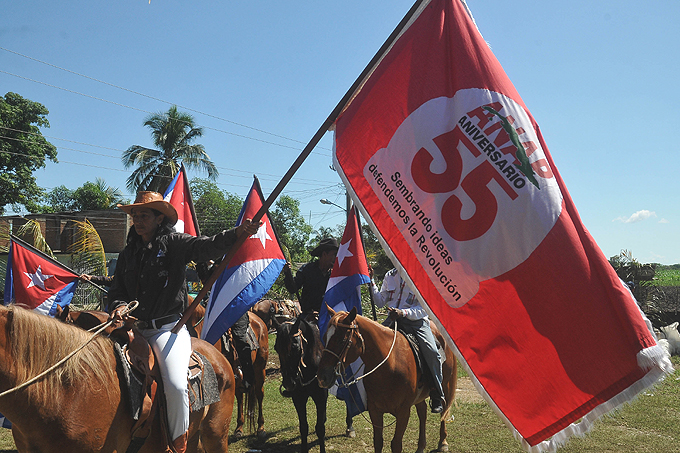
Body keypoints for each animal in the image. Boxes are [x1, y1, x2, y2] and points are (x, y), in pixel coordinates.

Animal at [318, 306, 456, 452]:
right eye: (325, 337)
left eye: (342, 341)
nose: (322, 377)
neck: (390, 364)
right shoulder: (375, 410)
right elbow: (378, 441)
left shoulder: (403, 412)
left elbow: (396, 444)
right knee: (422, 411)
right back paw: (420, 447)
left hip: (445, 386)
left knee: (444, 410)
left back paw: (443, 442)